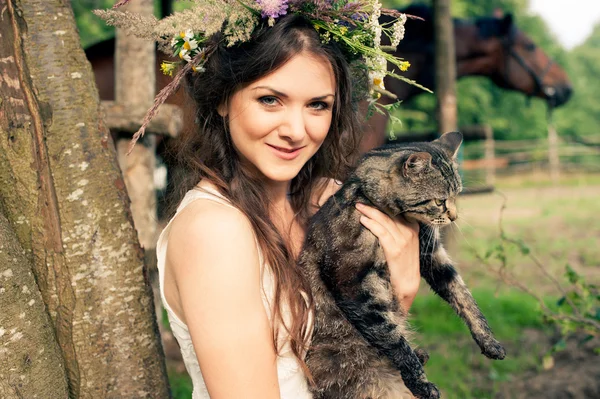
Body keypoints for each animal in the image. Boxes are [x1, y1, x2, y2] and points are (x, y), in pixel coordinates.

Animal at [302, 132, 504, 399]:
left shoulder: (431, 255)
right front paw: (421, 383)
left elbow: (463, 295)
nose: (454, 217)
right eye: (440, 201)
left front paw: (489, 340)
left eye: (457, 195)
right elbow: (392, 337)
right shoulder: (352, 282)